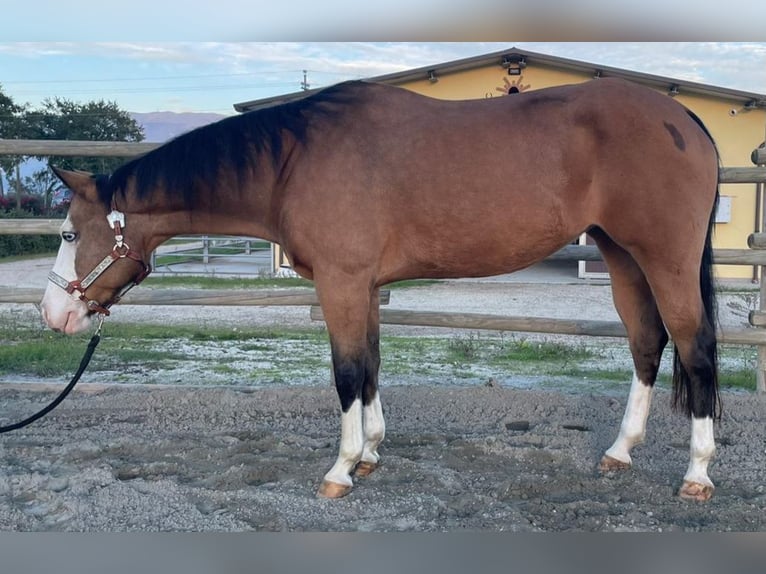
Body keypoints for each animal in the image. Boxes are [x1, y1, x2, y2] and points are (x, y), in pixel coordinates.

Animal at [39, 77, 724, 504]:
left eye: (70, 232)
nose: (55, 314)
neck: (292, 162)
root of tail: (683, 117)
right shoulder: (363, 285)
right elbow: (369, 364)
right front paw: (369, 453)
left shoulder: (342, 282)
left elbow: (345, 372)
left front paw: (339, 470)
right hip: (620, 255)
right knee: (646, 343)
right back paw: (620, 452)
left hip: (663, 258)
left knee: (694, 348)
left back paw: (696, 474)